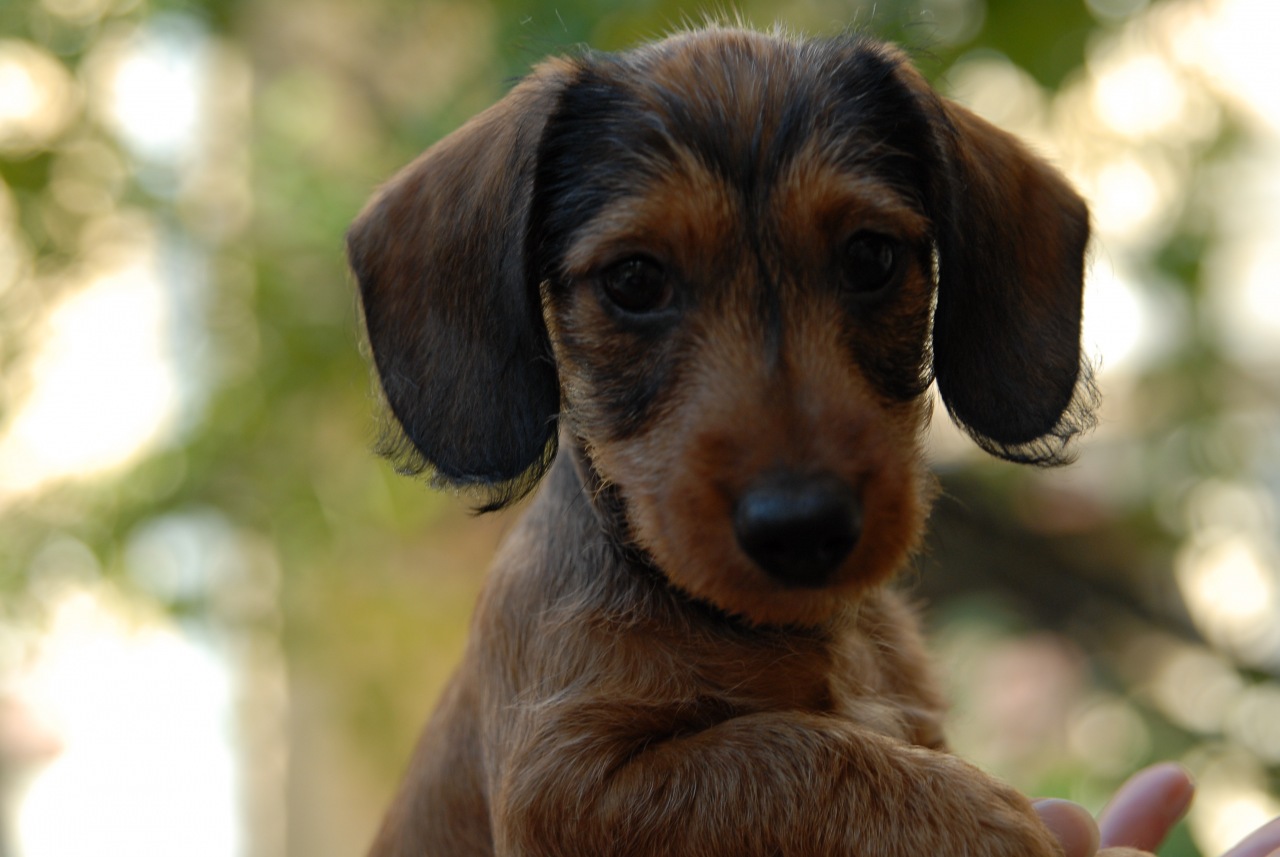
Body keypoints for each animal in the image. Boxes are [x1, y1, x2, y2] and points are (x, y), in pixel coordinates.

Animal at [347, 24, 1110, 857]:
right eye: (634, 279)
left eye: (870, 256)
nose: (802, 527)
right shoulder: (567, 784)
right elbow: (784, 750)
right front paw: (977, 819)